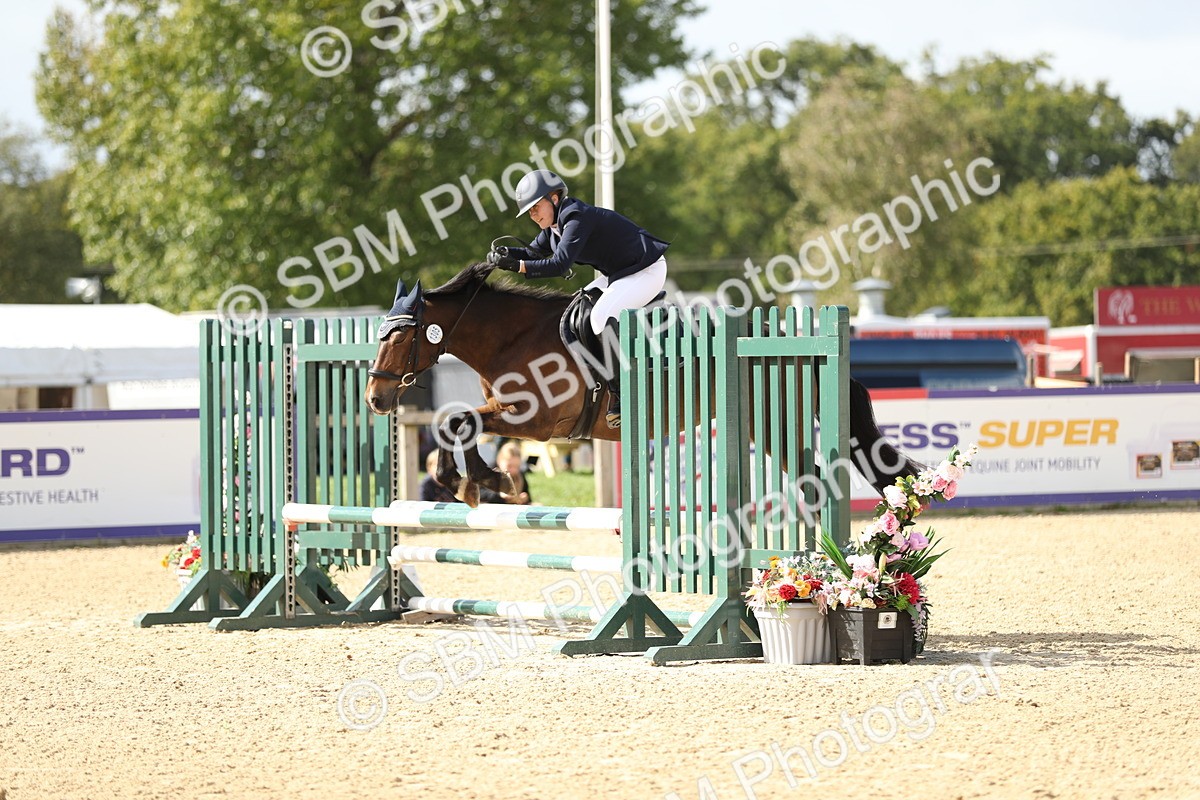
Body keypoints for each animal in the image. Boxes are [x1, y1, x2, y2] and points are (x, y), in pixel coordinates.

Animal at [365, 261, 923, 506]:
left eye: (402, 336)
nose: (375, 398)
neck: (512, 338)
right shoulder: (510, 415)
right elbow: (453, 421)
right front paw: (467, 481)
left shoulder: (538, 422)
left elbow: (458, 420)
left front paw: (485, 481)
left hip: (773, 425)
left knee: (815, 480)